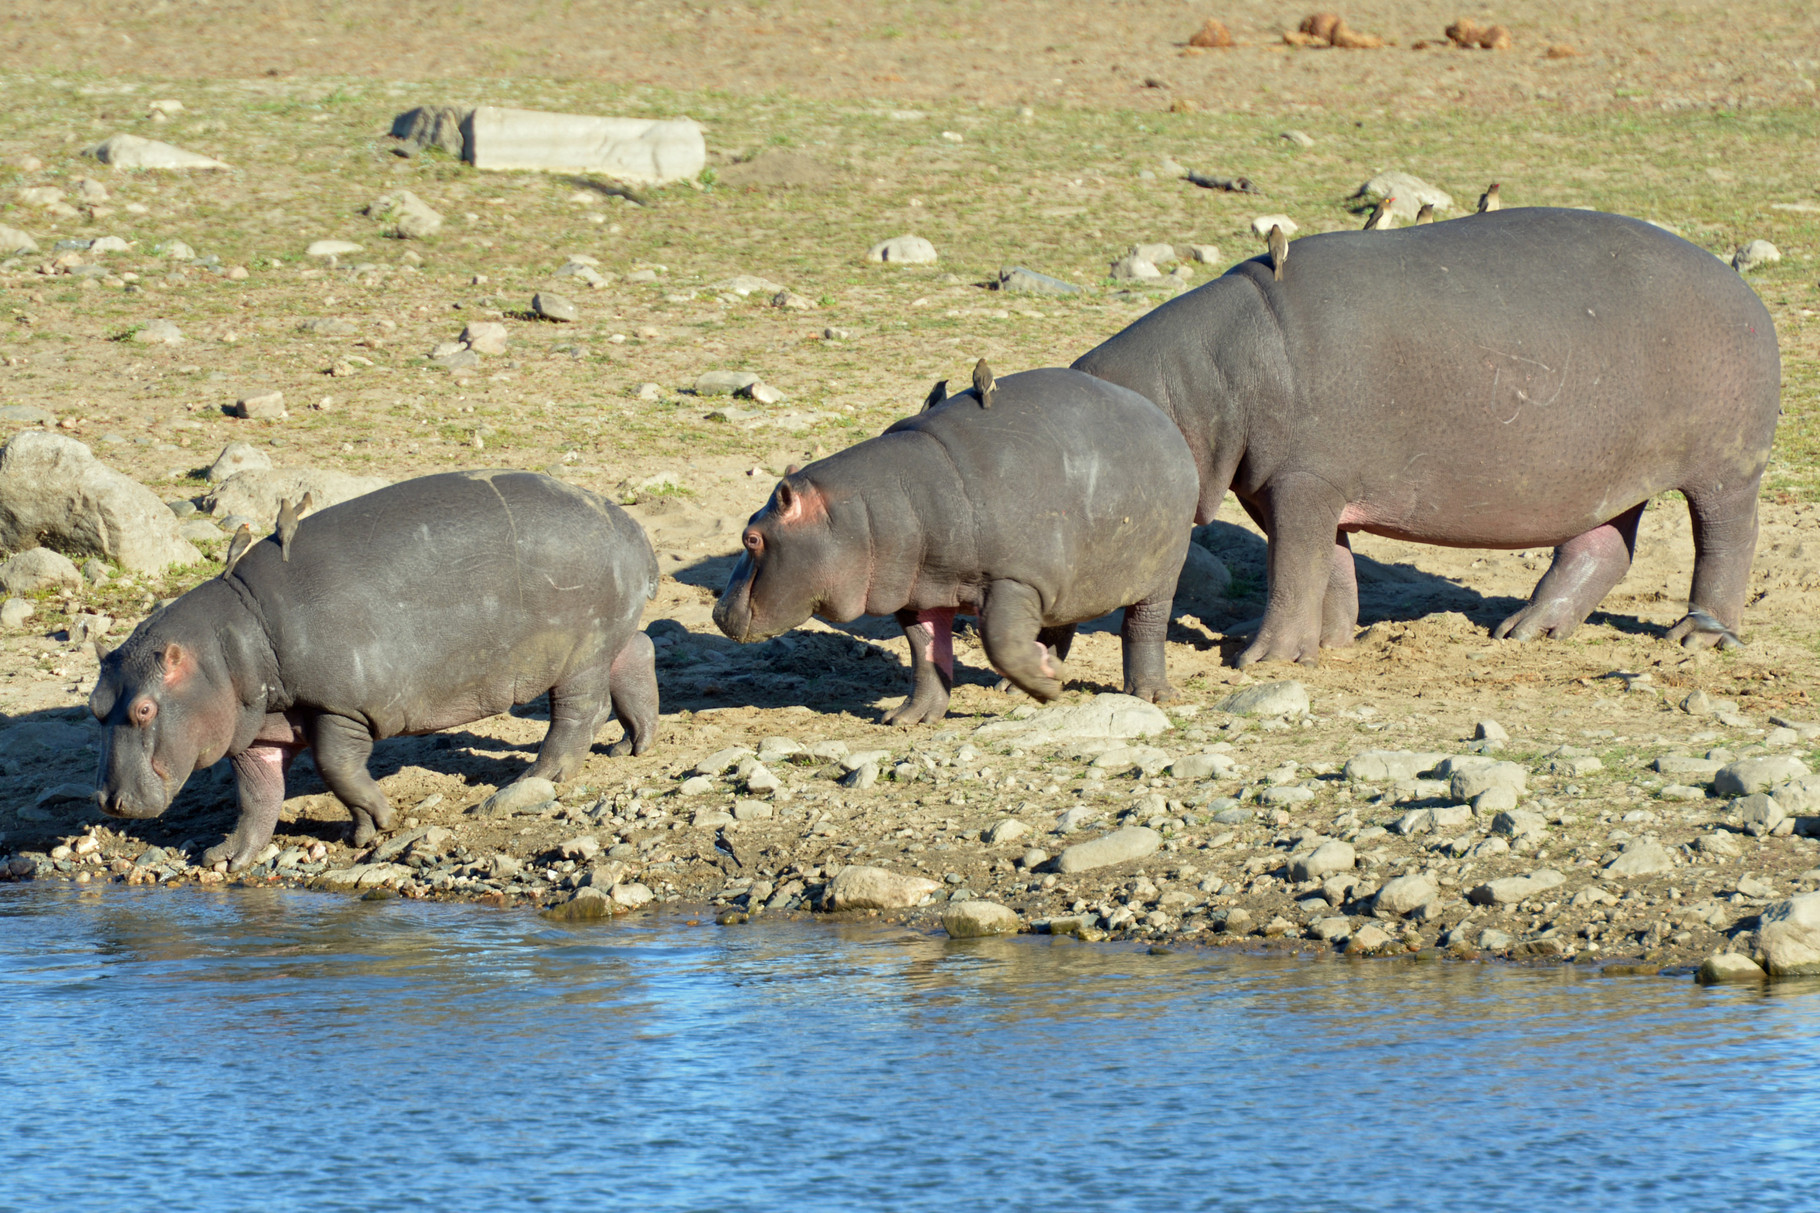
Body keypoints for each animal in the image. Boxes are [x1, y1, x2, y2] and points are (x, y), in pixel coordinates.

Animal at [90, 464, 662, 870]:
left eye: (145, 709)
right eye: (94, 706)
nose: (108, 801)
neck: (230, 643)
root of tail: (631, 526)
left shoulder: (341, 708)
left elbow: (336, 767)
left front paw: (377, 824)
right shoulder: (257, 731)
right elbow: (257, 796)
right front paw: (226, 858)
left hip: (577, 651)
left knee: (577, 712)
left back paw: (534, 779)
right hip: (603, 639)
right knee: (638, 651)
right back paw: (632, 746)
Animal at [713, 364, 1208, 721]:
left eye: (751, 537)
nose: (717, 612)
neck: (864, 512)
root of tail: (1162, 421)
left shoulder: (1014, 578)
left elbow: (998, 639)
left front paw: (1047, 688)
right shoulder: (920, 592)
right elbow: (926, 652)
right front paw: (908, 718)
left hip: (1161, 572)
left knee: (1144, 627)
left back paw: (1150, 694)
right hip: (1071, 578)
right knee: (1058, 623)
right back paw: (1026, 679)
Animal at [1070, 205, 1783, 662]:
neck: (1199, 377)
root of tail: (1741, 288)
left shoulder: (1304, 481)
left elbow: (1293, 569)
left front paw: (1261, 659)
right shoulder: (1288, 486)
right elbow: (1329, 567)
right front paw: (1328, 644)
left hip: (1725, 470)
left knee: (1727, 540)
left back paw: (1696, 638)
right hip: (1606, 476)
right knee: (1601, 547)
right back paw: (1523, 632)